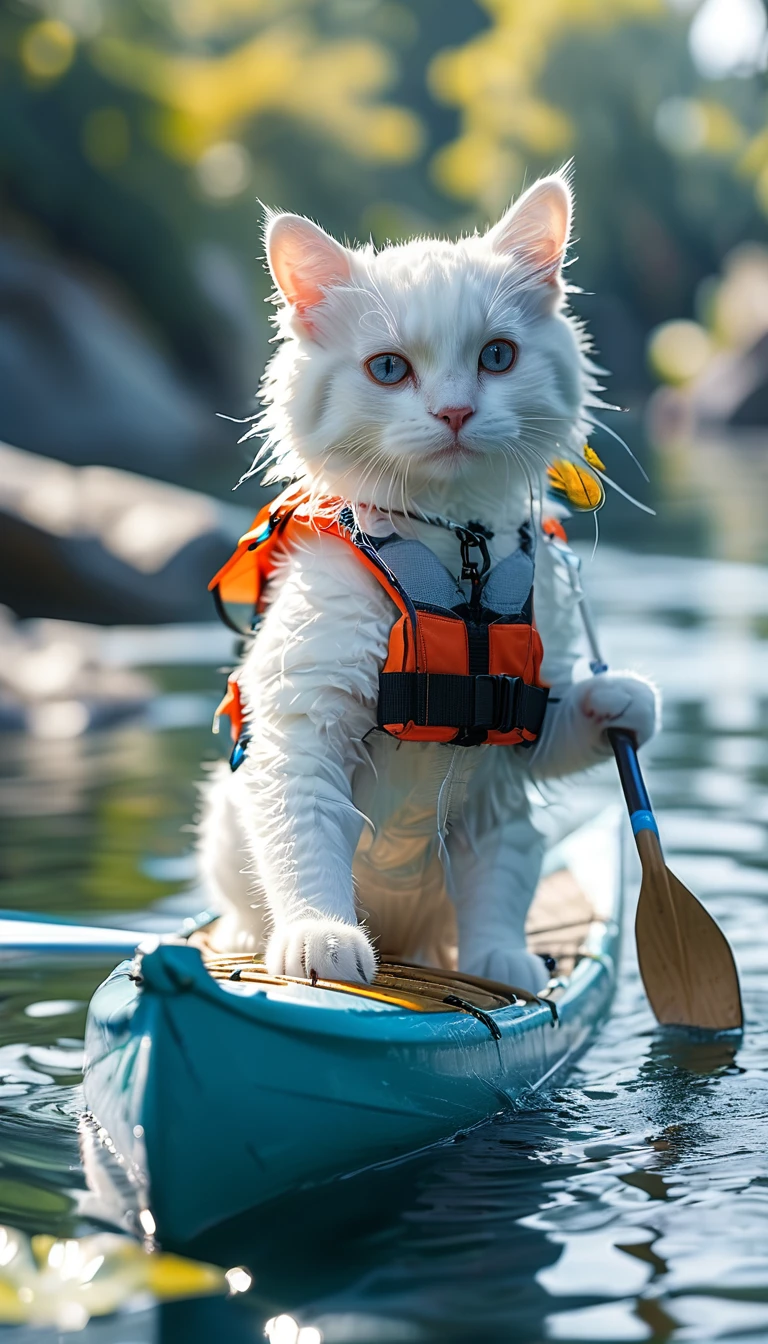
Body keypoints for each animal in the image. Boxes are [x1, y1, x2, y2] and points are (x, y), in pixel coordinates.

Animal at [200, 170, 661, 989]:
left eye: (498, 356)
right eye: (388, 368)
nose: (454, 411)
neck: (457, 550)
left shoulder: (529, 730)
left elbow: (570, 726)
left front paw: (623, 698)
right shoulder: (305, 726)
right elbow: (304, 842)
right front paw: (319, 941)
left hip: (504, 830)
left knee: (494, 900)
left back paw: (501, 963)